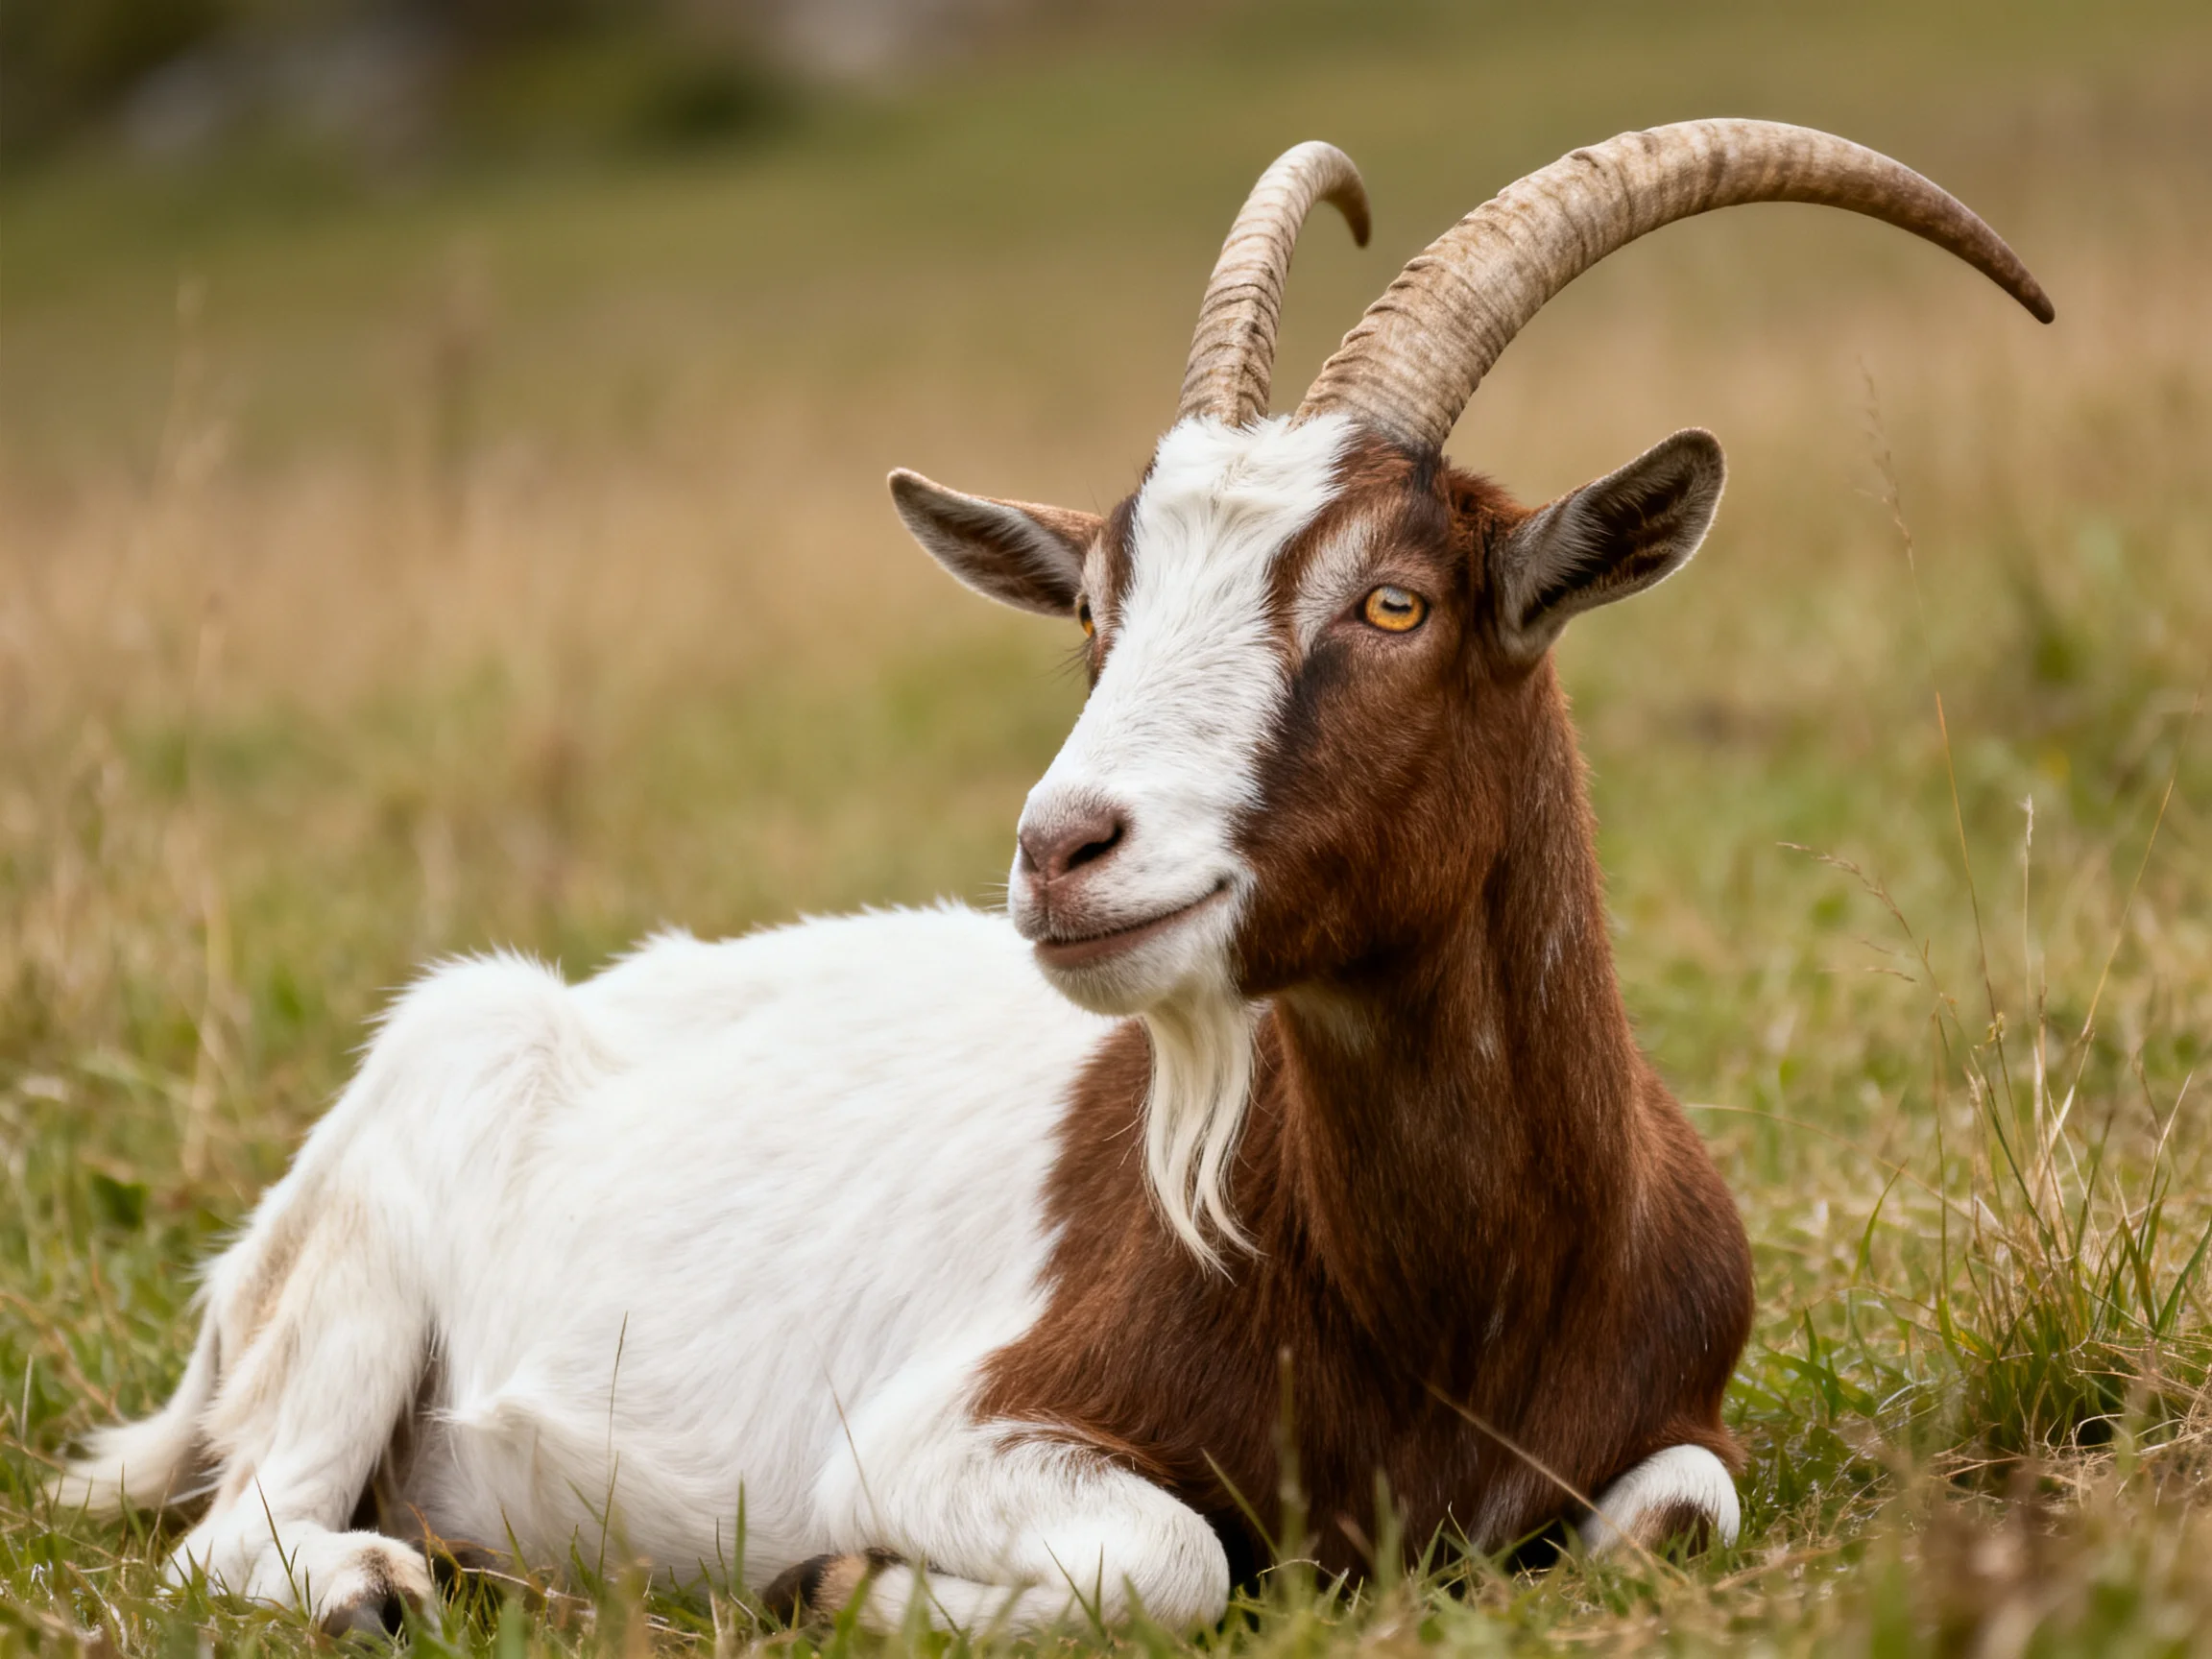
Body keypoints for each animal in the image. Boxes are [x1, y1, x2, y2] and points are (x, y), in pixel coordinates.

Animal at [51, 120, 2050, 1637]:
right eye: (1095, 605)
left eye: (1392, 600)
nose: (1061, 846)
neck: (1450, 1306)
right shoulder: (943, 1432)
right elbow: (1168, 1558)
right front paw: (833, 1579)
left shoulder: (1668, 1417)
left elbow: (1678, 1511)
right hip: (354, 1282)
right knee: (237, 1526)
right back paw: (387, 1575)